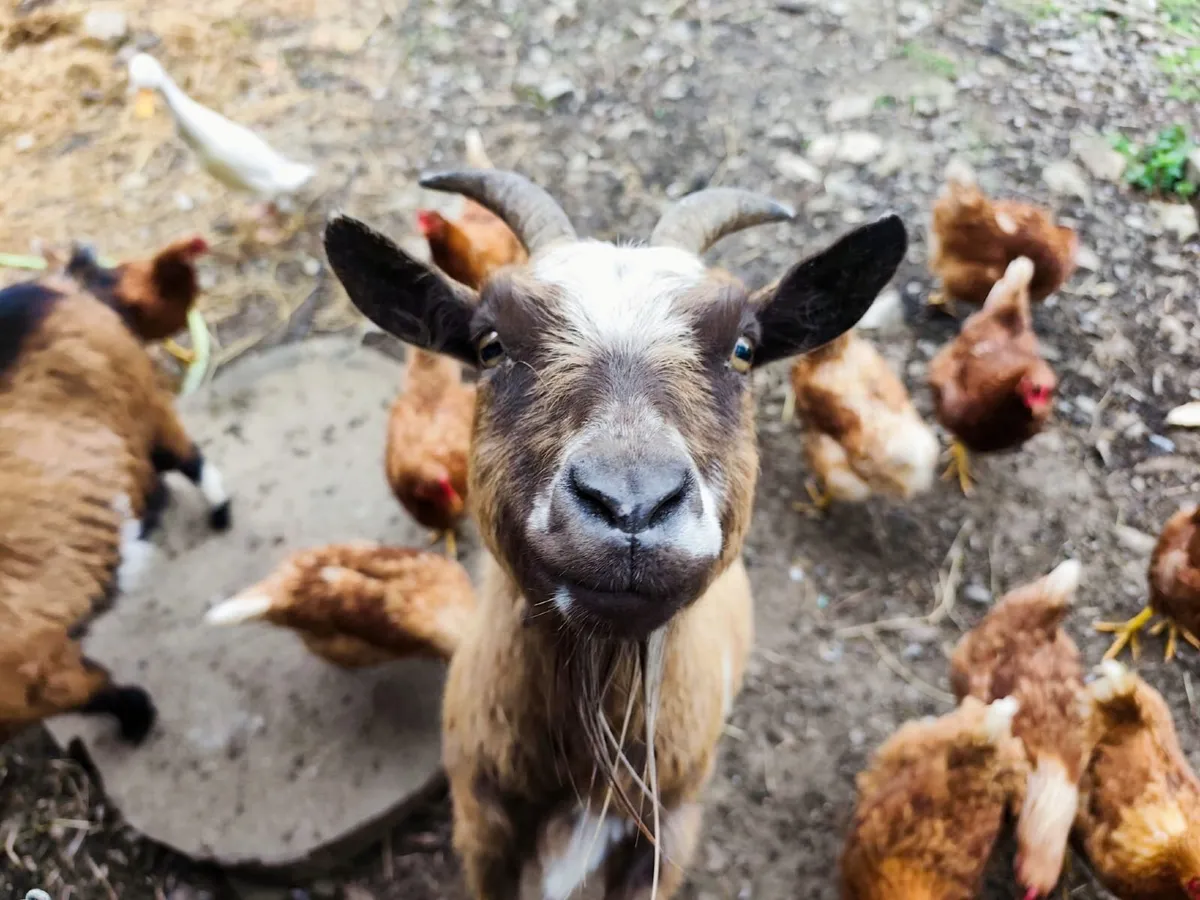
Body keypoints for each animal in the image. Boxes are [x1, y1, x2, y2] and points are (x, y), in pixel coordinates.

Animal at [0, 241, 230, 745]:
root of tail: (60, 285)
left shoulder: (28, 676)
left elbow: (90, 689)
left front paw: (138, 720)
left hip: (136, 397)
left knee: (185, 457)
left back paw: (218, 514)